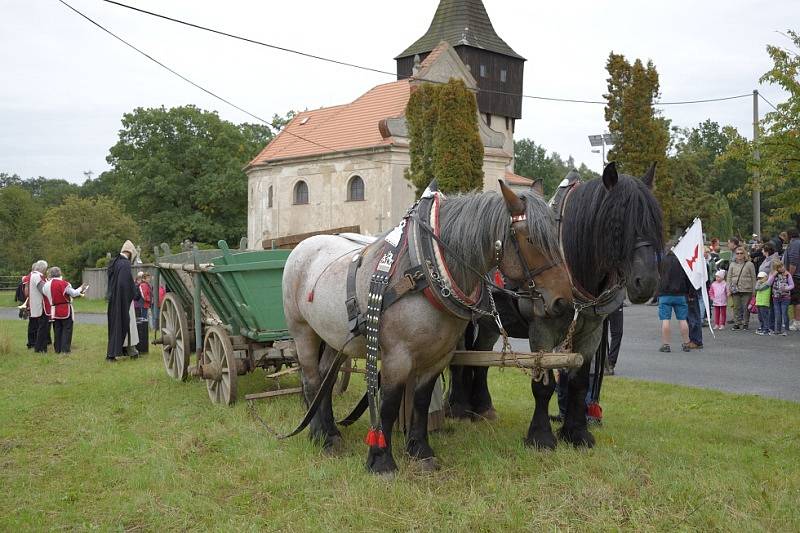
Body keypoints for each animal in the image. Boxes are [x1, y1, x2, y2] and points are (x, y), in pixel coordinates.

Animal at [284, 182, 572, 474]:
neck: (422, 270)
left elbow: (421, 401)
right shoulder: (397, 356)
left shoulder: (439, 356)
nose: (563, 302)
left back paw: (331, 432)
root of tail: (303, 245)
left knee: (326, 380)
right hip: (303, 331)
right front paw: (381, 461)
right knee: (311, 380)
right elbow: (388, 403)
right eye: (531, 240)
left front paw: (421, 451)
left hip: (333, 336)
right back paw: (320, 436)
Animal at [450, 162, 664, 448]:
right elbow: (544, 385)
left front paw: (576, 432)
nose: (647, 282)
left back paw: (483, 406)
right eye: (618, 221)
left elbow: (579, 382)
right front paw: (540, 436)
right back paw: (459, 407)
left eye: (654, 220)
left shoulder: (592, 331)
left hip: (491, 322)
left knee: (480, 354)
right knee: (457, 356)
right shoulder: (542, 329)